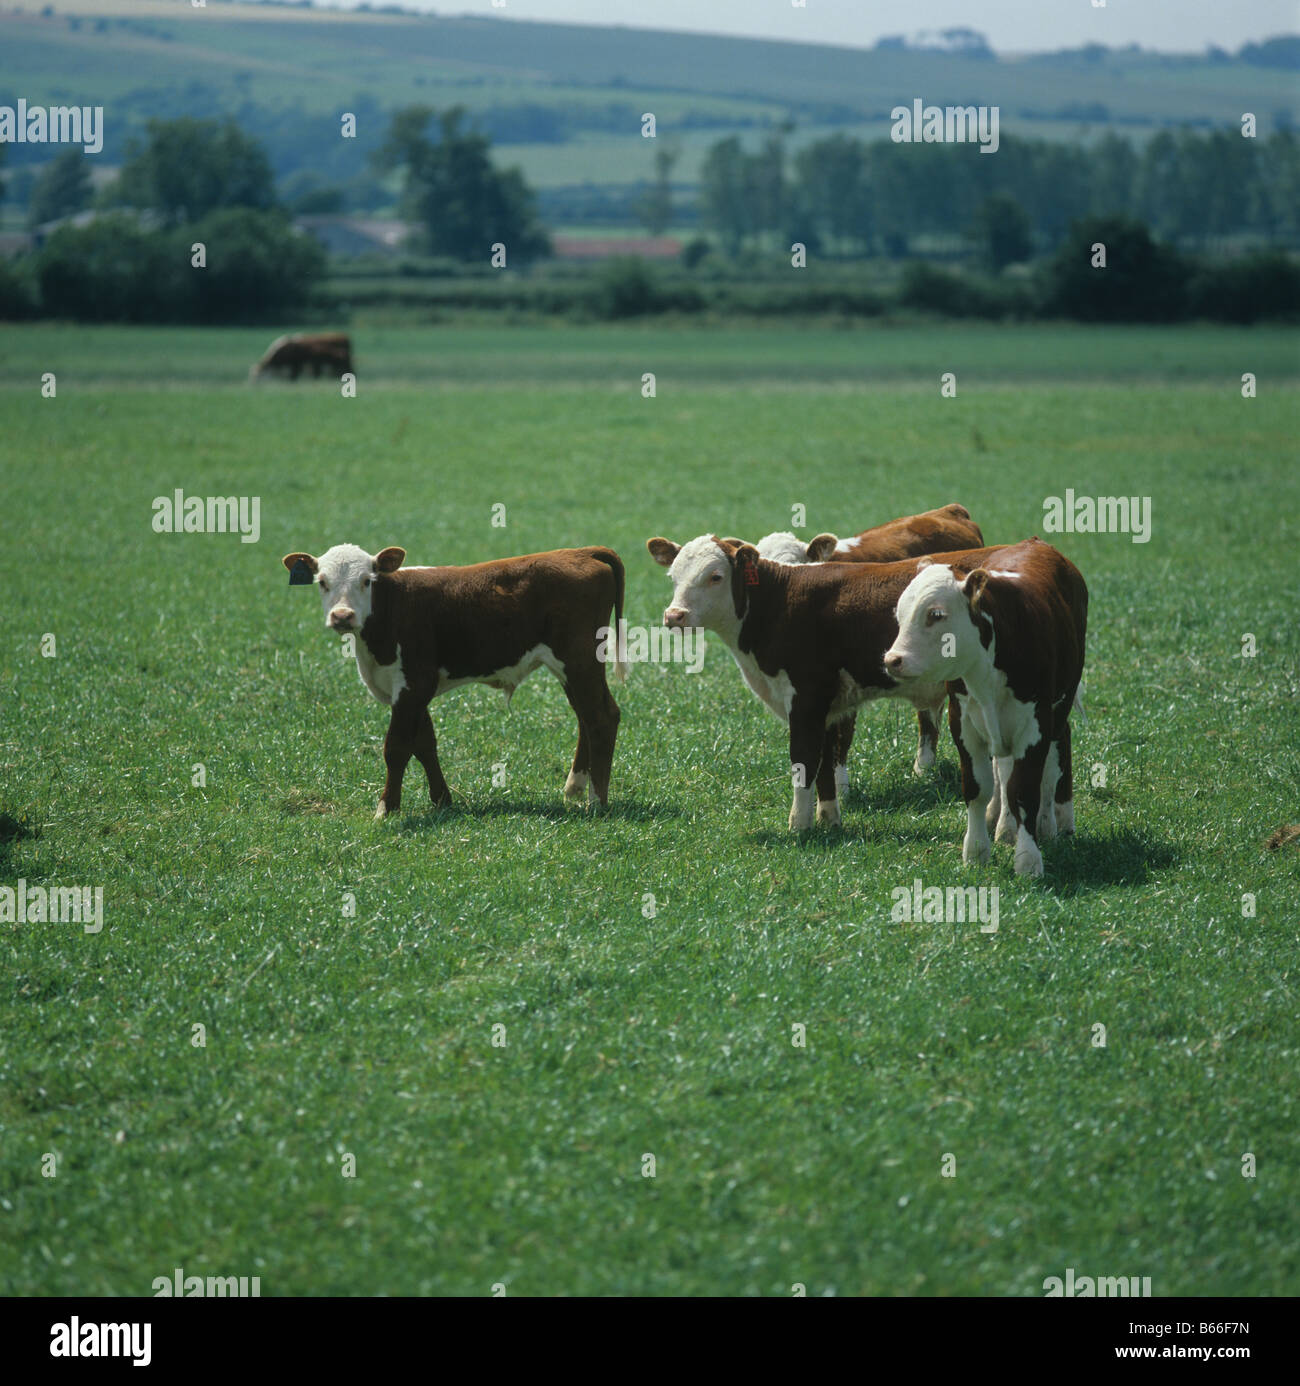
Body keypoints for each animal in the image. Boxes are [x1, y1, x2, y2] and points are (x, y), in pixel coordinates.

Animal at [281, 543, 626, 820]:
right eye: (322, 582)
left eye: (367, 581)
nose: (342, 616)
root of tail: (580, 552)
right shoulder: (411, 690)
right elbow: (425, 744)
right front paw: (442, 800)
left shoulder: (414, 683)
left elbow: (397, 747)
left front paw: (386, 808)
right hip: (572, 668)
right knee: (585, 717)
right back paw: (574, 787)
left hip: (579, 660)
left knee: (602, 717)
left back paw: (597, 801)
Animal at [643, 534, 1008, 826]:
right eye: (673, 576)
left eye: (715, 576)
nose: (674, 615)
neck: (778, 604)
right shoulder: (830, 705)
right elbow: (826, 761)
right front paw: (829, 819)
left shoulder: (807, 698)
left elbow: (804, 757)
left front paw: (799, 826)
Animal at [881, 534, 1086, 870]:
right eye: (899, 614)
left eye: (935, 614)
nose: (892, 660)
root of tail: (1036, 543)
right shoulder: (963, 723)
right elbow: (978, 788)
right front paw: (976, 851)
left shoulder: (1035, 725)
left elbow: (1026, 790)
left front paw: (1028, 860)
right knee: (1003, 771)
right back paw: (1004, 825)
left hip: (1060, 707)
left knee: (1051, 766)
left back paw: (1052, 822)